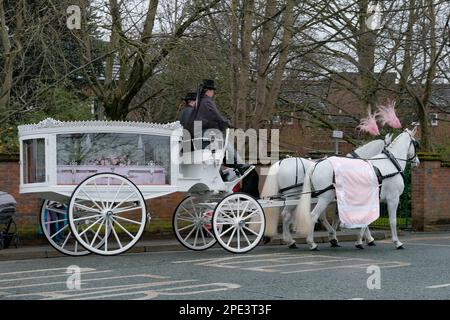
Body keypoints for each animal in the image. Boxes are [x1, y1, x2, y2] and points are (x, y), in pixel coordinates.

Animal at [260, 132, 394, 248]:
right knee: (286, 215)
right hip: (293, 197)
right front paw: (368, 239)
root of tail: (281, 162)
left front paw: (334, 236)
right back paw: (291, 240)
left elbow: (336, 217)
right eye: (388, 149)